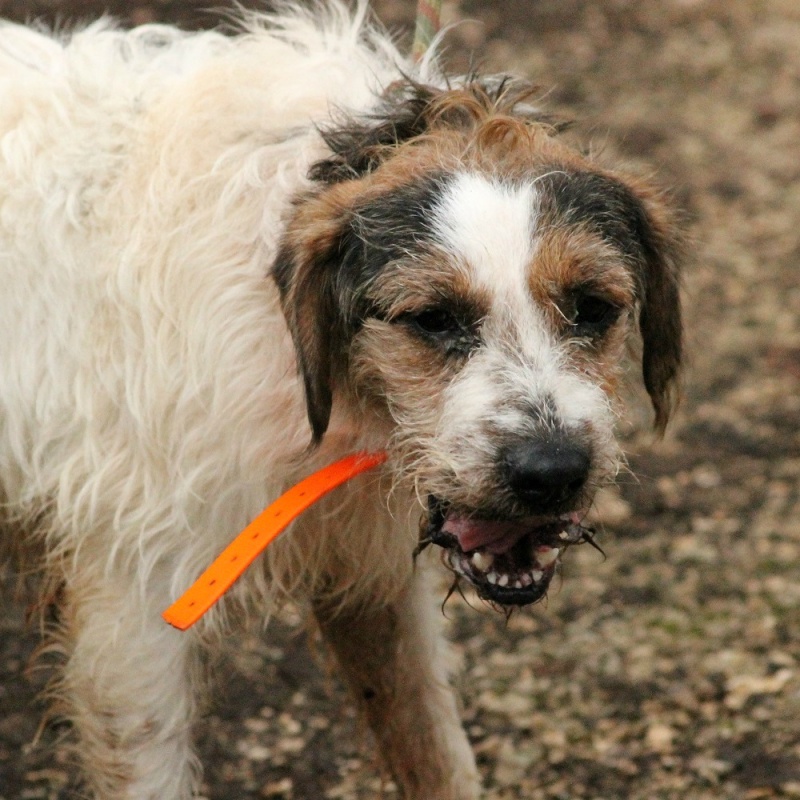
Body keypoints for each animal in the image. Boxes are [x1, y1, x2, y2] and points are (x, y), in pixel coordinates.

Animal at [1, 3, 680, 796]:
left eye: (592, 306)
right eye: (432, 318)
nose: (551, 472)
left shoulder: (373, 583)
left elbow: (435, 751)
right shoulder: (129, 613)